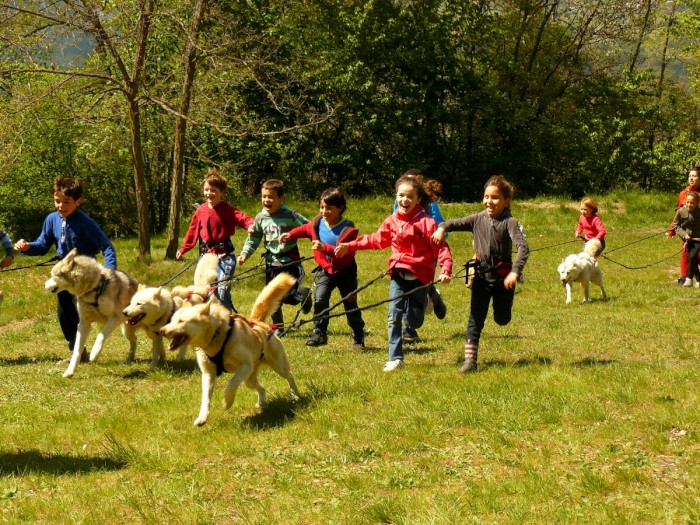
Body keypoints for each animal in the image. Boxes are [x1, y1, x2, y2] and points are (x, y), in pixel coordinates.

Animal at [160, 272, 302, 424]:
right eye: (172, 320)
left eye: (181, 321)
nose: (162, 330)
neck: (216, 337)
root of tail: (256, 321)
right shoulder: (208, 374)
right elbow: (205, 398)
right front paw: (202, 417)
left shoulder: (245, 366)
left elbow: (232, 383)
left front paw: (227, 402)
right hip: (249, 379)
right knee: (261, 388)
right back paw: (261, 402)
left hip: (277, 366)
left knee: (289, 376)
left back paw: (296, 396)